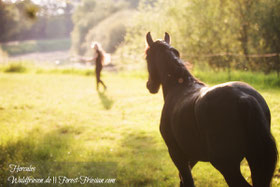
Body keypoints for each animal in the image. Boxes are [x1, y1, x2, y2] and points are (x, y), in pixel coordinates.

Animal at [145, 31, 276, 186]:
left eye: (147, 57)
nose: (150, 85)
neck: (179, 87)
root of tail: (244, 97)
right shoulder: (192, 155)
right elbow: (183, 180)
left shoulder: (177, 154)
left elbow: (187, 180)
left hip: (227, 166)